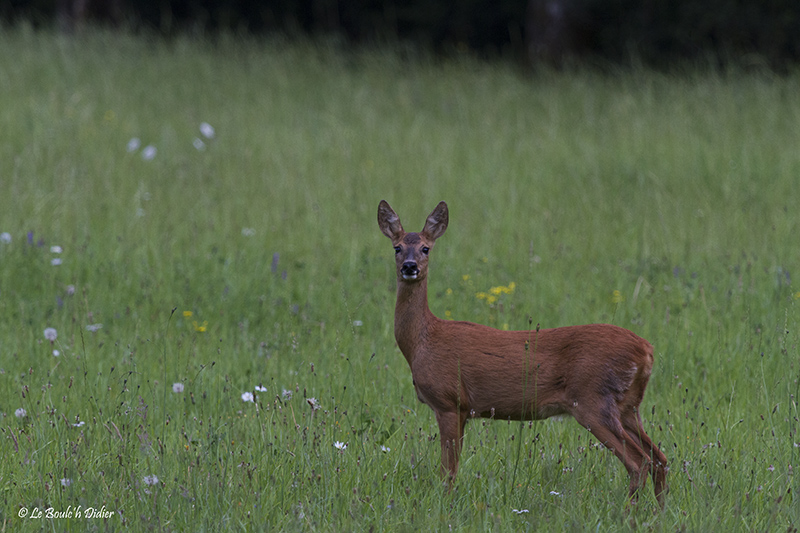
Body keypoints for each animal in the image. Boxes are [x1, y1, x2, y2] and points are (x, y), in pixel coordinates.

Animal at [378, 201, 664, 508]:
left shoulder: (449, 401)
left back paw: (629, 513)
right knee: (660, 458)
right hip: (628, 406)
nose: (409, 267)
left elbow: (448, 472)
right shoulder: (463, 409)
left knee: (639, 462)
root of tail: (646, 350)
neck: (423, 341)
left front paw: (444, 507)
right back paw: (659, 511)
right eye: (396, 247)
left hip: (593, 400)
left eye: (425, 248)